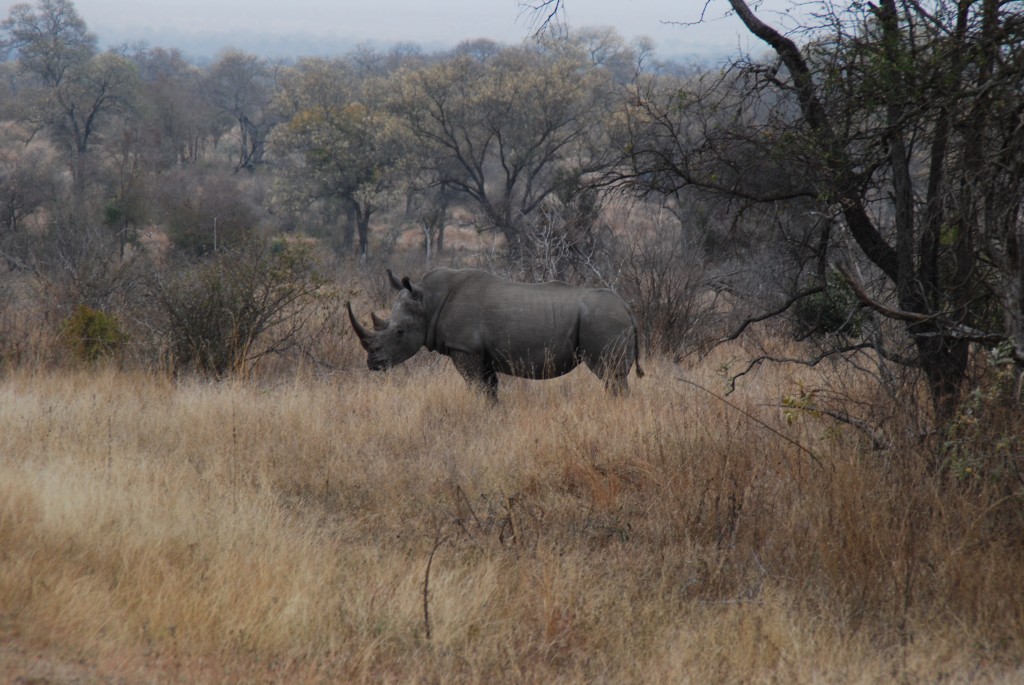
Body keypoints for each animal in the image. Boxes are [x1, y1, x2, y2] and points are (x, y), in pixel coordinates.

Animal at [347, 268, 644, 398]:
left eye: (399, 332)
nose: (373, 363)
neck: (429, 301)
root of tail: (628, 309)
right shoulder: (482, 354)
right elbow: (489, 389)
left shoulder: (465, 348)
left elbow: (477, 387)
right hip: (606, 319)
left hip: (604, 321)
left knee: (611, 375)